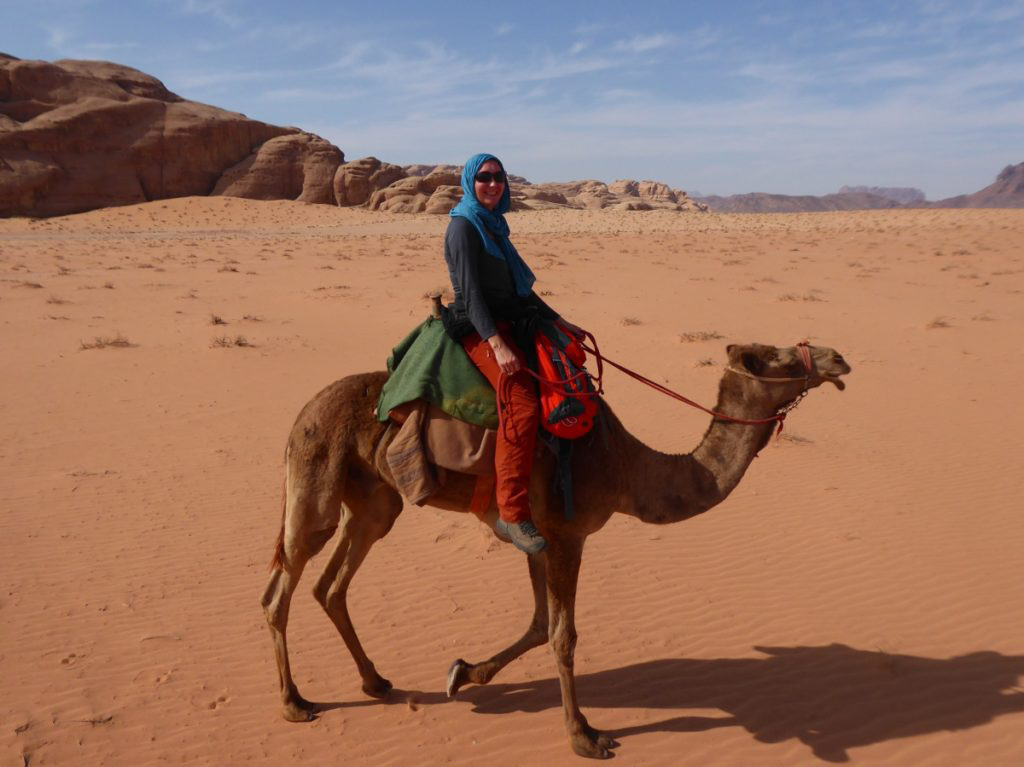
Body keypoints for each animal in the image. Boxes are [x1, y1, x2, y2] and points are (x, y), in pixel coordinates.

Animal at [262, 339, 847, 753]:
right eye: (770, 358)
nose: (836, 358)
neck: (626, 467)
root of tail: (300, 414)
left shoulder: (535, 537)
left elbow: (540, 623)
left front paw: (464, 673)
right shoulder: (568, 534)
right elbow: (563, 634)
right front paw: (584, 734)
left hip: (375, 500)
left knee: (330, 583)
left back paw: (375, 680)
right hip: (316, 478)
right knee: (282, 585)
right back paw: (294, 702)